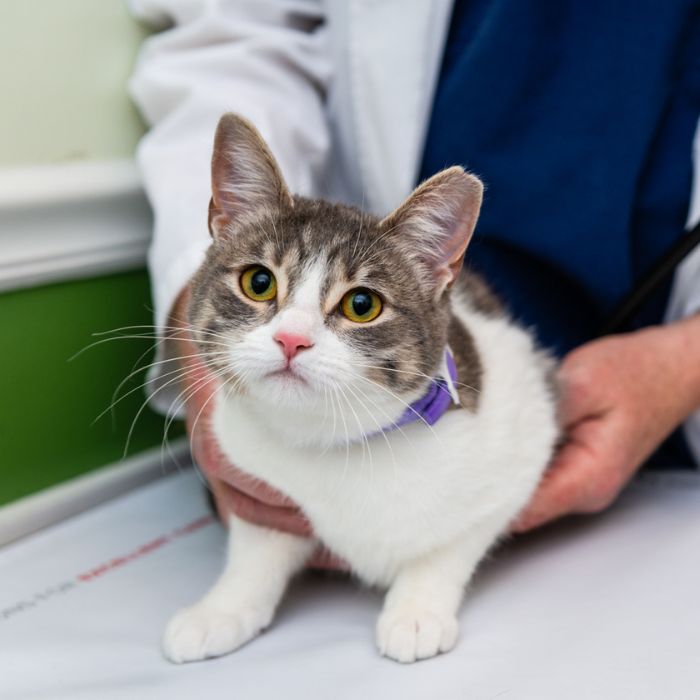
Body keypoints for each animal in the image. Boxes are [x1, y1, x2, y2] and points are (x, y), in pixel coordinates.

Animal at [163, 112, 556, 664]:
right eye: (259, 282)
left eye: (362, 305)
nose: (292, 338)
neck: (335, 444)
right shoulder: (255, 476)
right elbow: (256, 547)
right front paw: (223, 607)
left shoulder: (524, 428)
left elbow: (453, 541)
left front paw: (416, 610)